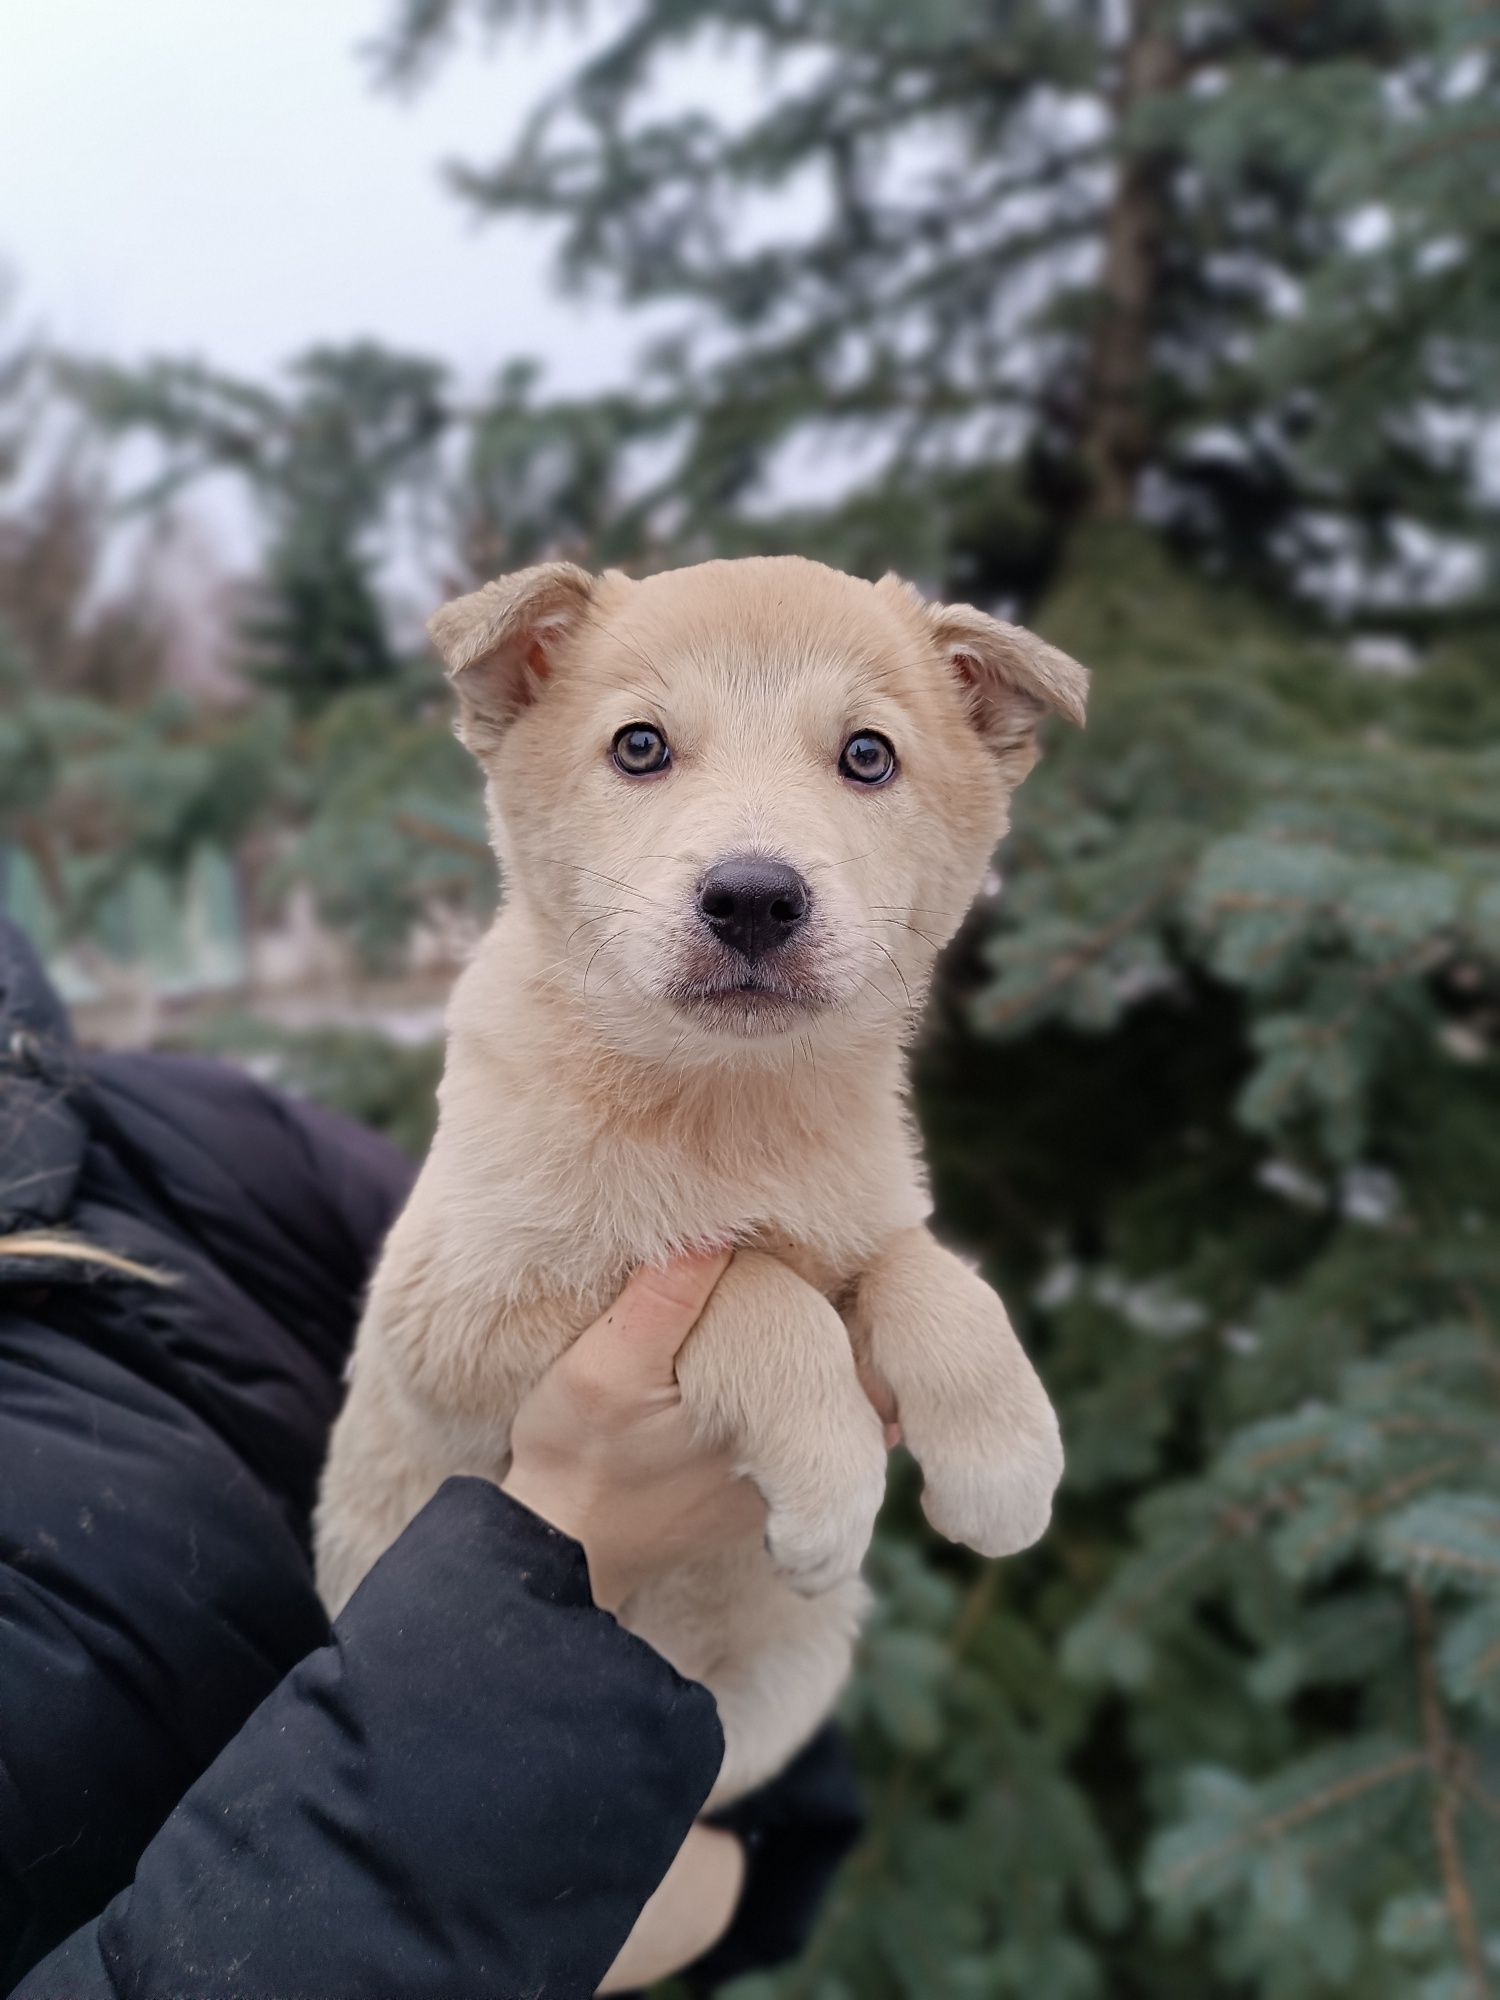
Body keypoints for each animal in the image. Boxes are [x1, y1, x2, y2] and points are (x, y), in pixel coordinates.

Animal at [314, 556, 1096, 1808]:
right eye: (639, 745)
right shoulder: (457, 1309)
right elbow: (742, 1278)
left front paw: (1006, 1463)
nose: (754, 898)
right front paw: (832, 1479)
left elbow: (935, 1271)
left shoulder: (868, 1213)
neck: (726, 1106)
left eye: (868, 754)